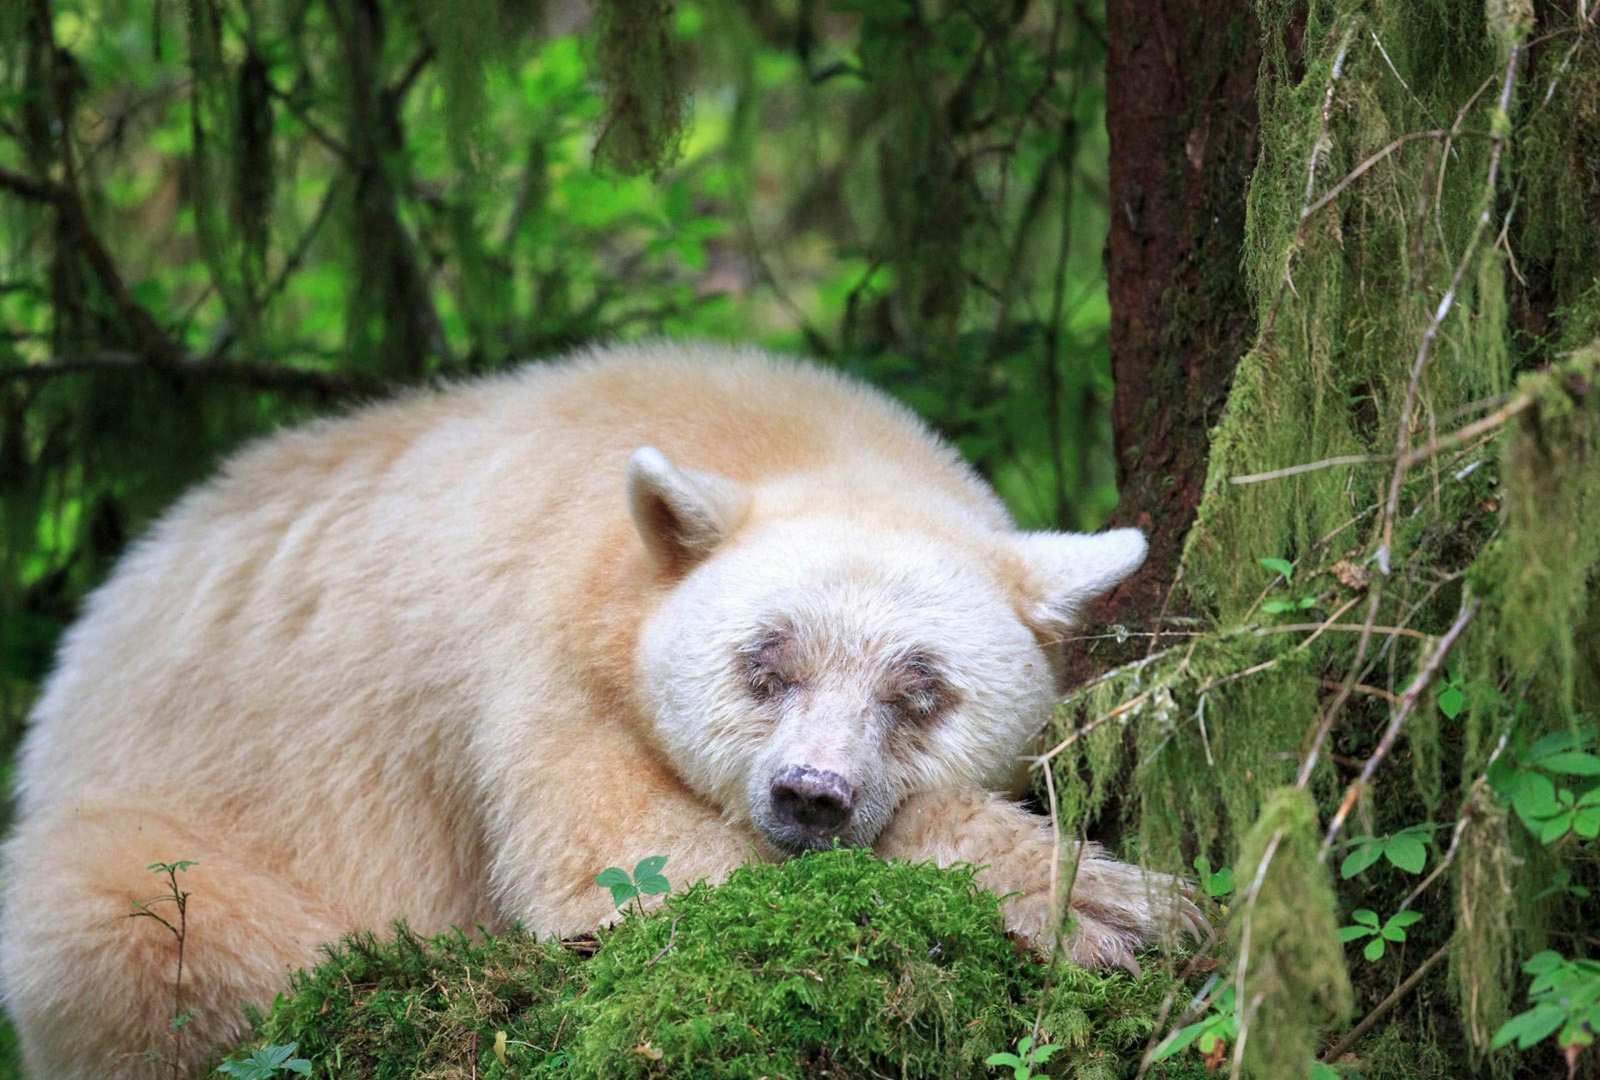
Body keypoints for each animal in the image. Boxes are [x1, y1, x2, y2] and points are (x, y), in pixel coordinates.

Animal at [0, 343, 1200, 1077]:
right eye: (764, 664)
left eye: (921, 691)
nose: (810, 795)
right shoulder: (536, 656)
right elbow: (625, 865)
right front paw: (1098, 906)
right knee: (120, 917)